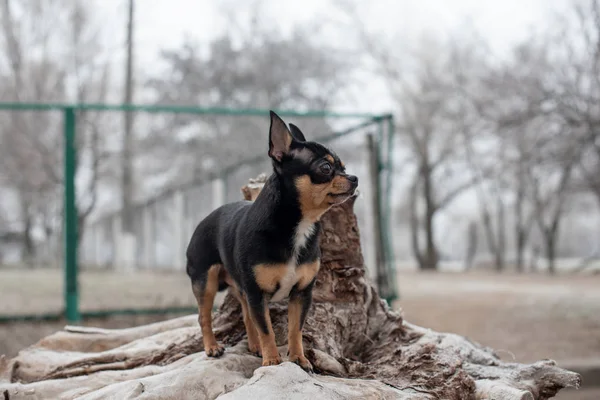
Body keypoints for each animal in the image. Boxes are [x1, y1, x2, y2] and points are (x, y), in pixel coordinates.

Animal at [185, 110, 358, 372]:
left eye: (344, 167)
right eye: (326, 167)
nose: (354, 177)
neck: (299, 224)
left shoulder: (300, 294)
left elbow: (295, 329)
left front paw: (298, 358)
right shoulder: (258, 295)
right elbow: (267, 329)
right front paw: (272, 361)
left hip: (240, 288)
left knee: (247, 316)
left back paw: (254, 346)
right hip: (205, 282)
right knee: (204, 317)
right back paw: (212, 347)